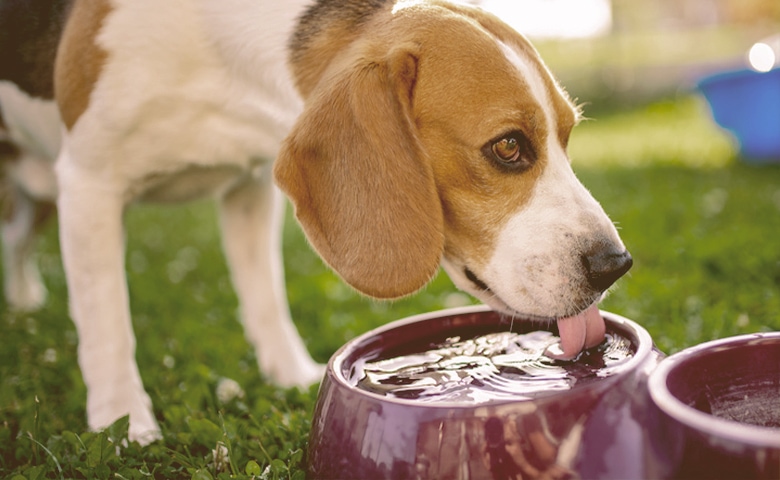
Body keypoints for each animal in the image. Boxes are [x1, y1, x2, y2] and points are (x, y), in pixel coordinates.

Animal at [0, 0, 632, 442]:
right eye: (508, 147)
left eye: (567, 136)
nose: (615, 264)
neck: (219, 56)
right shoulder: (89, 183)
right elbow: (107, 324)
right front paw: (124, 424)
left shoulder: (250, 186)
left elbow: (265, 297)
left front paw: (290, 375)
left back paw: (25, 298)